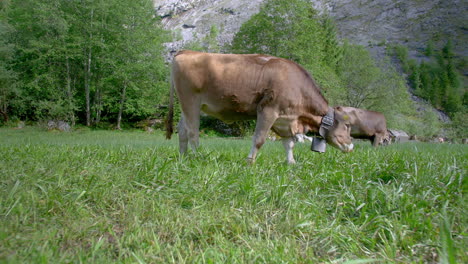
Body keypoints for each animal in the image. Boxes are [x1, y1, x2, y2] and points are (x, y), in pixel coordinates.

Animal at [166, 50, 352, 164]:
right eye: (346, 126)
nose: (351, 146)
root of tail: (187, 52)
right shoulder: (268, 110)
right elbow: (259, 139)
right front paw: (250, 162)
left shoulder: (285, 119)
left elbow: (289, 143)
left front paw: (291, 162)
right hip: (190, 100)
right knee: (192, 132)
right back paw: (198, 157)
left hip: (190, 106)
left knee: (182, 130)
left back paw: (183, 157)